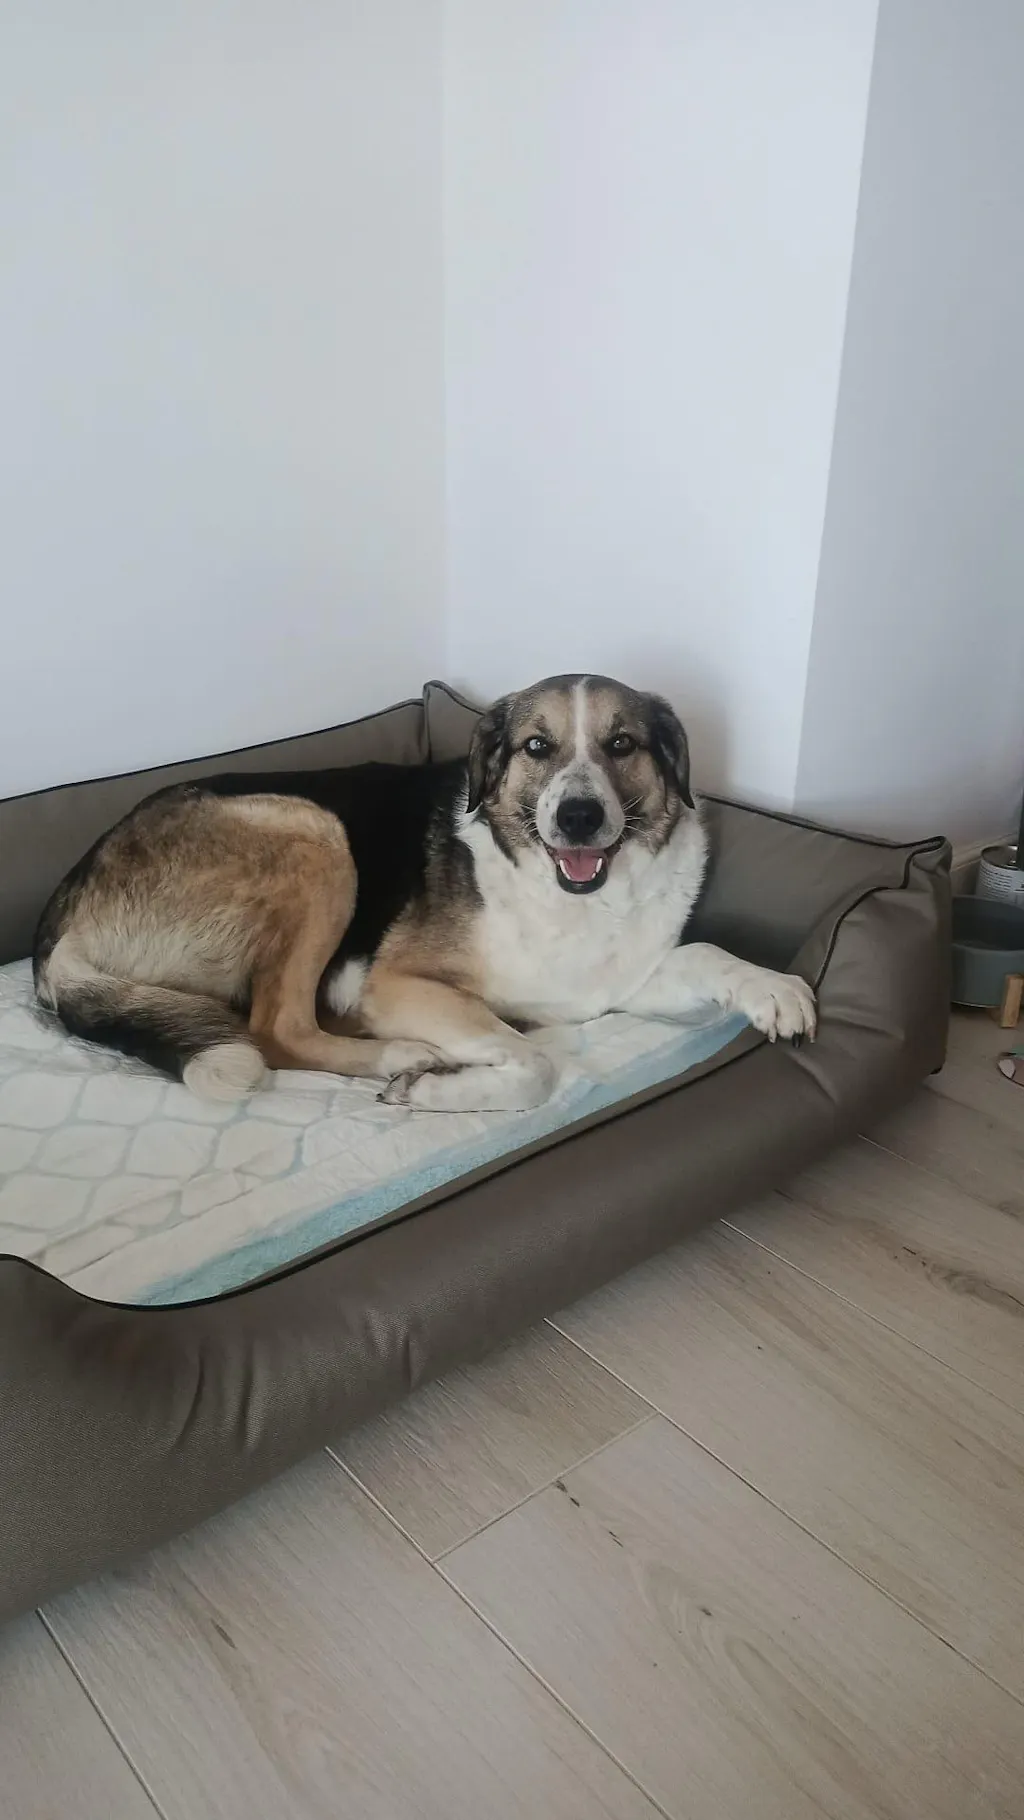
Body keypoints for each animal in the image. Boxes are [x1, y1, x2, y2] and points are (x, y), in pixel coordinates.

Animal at [33, 674, 816, 1112]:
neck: (571, 900)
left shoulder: (620, 983)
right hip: (314, 831)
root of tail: (60, 924)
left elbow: (708, 952)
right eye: (537, 747)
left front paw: (773, 987)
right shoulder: (400, 984)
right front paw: (440, 1091)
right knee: (275, 1028)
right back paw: (400, 1056)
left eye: (622, 744)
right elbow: (534, 1065)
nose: (579, 817)